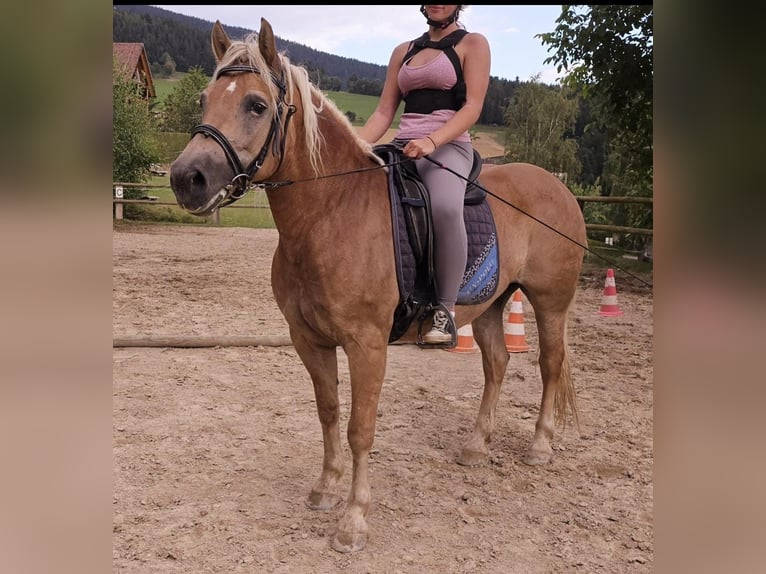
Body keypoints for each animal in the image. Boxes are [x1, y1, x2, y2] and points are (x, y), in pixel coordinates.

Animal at [170, 18, 588, 556]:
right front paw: (326, 489)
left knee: (549, 364)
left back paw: (539, 446)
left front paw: (353, 522)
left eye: (256, 105)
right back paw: (476, 446)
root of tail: (559, 187)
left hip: (550, 303)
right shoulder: (309, 340)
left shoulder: (367, 345)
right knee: (497, 364)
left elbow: (359, 429)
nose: (187, 178)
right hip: (492, 303)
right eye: (204, 98)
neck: (332, 212)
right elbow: (328, 412)